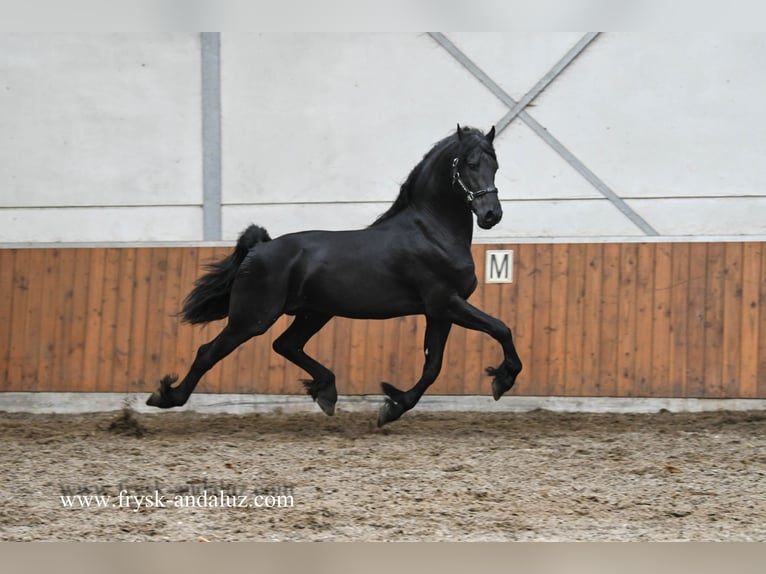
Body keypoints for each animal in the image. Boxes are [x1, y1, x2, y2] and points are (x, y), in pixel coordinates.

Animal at [147, 126, 524, 428]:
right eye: (470, 164)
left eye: (495, 165)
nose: (491, 215)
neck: (432, 231)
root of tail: (260, 248)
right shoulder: (446, 302)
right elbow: (501, 328)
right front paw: (502, 380)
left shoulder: (439, 312)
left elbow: (433, 366)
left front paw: (393, 406)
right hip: (252, 318)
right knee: (208, 352)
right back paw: (166, 397)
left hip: (314, 313)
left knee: (286, 344)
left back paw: (326, 391)